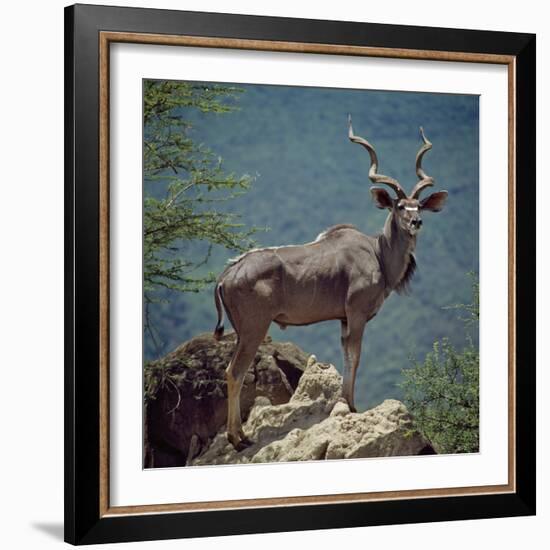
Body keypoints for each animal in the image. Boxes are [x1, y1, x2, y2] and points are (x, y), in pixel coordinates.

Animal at [212, 117, 448, 452]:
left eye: (419, 206)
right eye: (400, 206)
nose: (416, 222)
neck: (378, 252)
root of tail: (227, 274)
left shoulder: (343, 319)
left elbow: (347, 356)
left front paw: (346, 403)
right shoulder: (357, 315)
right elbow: (356, 357)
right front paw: (351, 406)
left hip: (242, 331)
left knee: (232, 370)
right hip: (255, 328)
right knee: (235, 372)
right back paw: (238, 438)